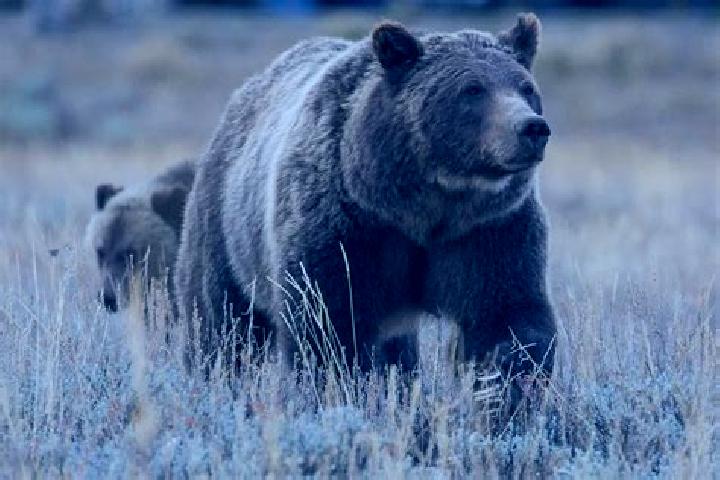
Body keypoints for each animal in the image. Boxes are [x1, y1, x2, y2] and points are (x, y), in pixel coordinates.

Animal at [175, 14, 556, 383]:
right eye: (472, 89)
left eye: (526, 87)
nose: (532, 127)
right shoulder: (346, 226)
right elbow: (329, 323)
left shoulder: (489, 229)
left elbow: (506, 317)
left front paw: (507, 387)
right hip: (225, 227)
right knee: (221, 318)